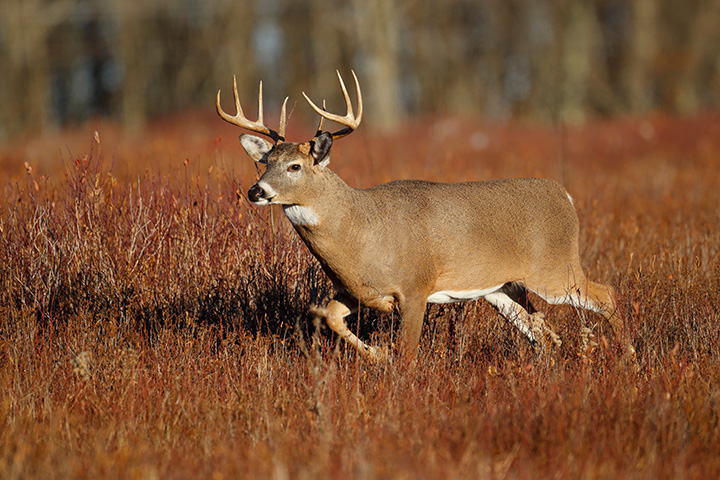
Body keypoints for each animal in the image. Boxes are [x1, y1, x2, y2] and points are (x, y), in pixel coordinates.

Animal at [216, 71, 633, 362]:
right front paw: (378, 355)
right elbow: (327, 316)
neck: (361, 232)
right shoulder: (355, 290)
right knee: (540, 327)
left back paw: (629, 356)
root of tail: (564, 194)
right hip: (502, 288)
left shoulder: (415, 286)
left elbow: (409, 354)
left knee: (606, 294)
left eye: (295, 166)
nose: (256, 191)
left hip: (555, 270)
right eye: (265, 163)